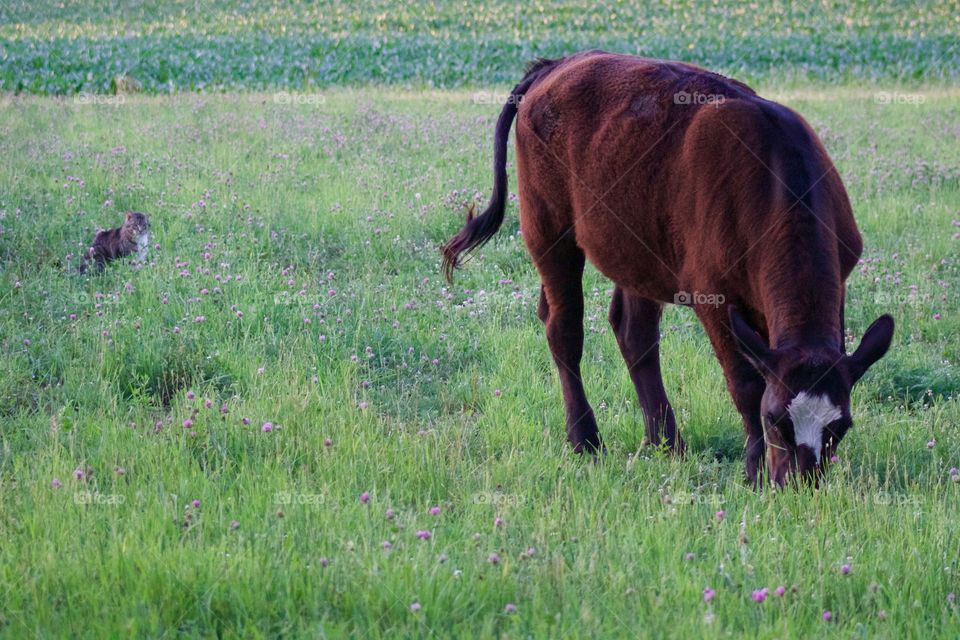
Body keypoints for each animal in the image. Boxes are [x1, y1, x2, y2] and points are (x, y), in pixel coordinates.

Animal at [442, 52, 892, 488]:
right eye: (774, 419)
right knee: (564, 328)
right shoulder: (714, 294)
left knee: (633, 332)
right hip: (547, 227)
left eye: (840, 427)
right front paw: (754, 470)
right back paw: (585, 439)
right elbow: (746, 382)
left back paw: (666, 441)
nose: (800, 484)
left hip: (636, 245)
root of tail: (556, 64)